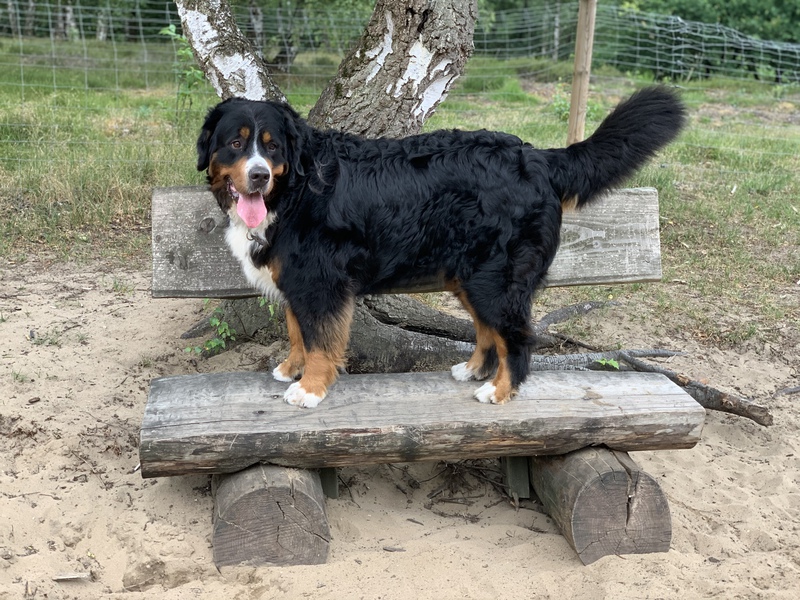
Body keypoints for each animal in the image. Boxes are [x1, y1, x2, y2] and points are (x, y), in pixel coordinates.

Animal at [196, 87, 686, 408]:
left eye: (272, 146)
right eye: (236, 142)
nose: (259, 175)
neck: (295, 188)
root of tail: (537, 156)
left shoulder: (322, 283)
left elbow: (322, 341)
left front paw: (311, 388)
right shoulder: (299, 283)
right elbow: (300, 332)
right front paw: (291, 368)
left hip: (496, 279)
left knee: (517, 338)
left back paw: (499, 390)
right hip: (470, 276)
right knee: (489, 332)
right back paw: (474, 369)